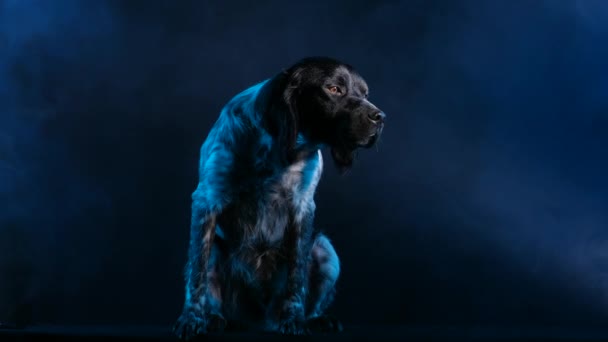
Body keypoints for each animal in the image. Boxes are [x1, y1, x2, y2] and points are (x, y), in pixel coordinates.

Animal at [173, 56, 388, 340]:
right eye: (333, 89)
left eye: (365, 94)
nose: (380, 117)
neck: (280, 148)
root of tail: (257, 319)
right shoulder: (207, 199)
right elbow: (197, 273)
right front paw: (191, 319)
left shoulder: (303, 207)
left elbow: (296, 276)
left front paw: (294, 320)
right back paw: (215, 318)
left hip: (324, 248)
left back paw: (316, 319)